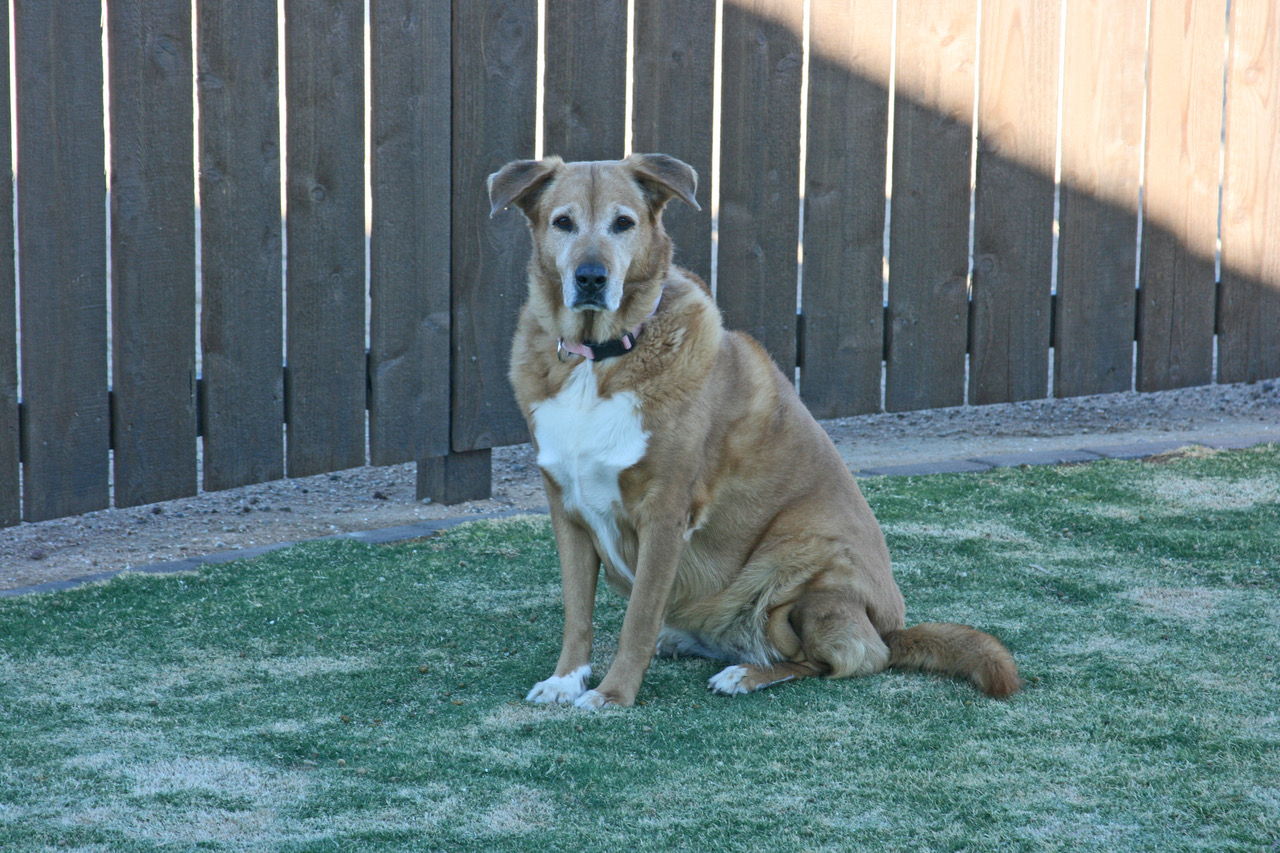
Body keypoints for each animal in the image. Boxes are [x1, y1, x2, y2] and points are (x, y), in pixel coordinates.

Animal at [490, 153, 1020, 709]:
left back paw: (746, 673)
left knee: (847, 660)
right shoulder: (567, 509)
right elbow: (578, 614)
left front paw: (612, 695)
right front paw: (566, 679)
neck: (600, 359)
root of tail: (893, 628)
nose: (591, 278)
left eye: (623, 223)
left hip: (804, 564)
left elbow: (637, 620)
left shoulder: (665, 513)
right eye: (563, 222)